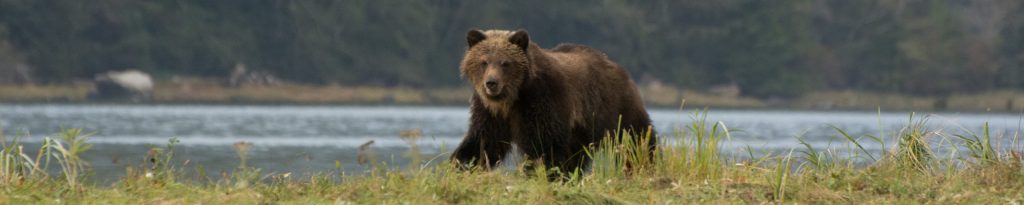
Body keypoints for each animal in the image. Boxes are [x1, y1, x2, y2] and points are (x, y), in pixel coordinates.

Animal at [450, 28, 655, 175]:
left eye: (505, 63)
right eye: (484, 62)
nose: (491, 83)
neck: (514, 96)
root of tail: (616, 65)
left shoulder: (543, 100)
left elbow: (544, 146)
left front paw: (542, 173)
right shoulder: (490, 111)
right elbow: (483, 142)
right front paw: (461, 164)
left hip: (616, 107)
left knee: (636, 138)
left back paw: (644, 165)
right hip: (581, 130)